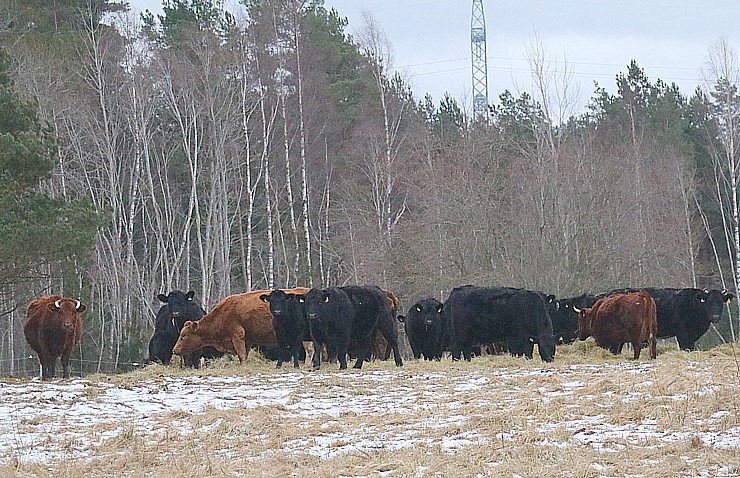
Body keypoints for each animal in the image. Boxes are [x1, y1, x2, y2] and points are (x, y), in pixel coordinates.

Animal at [173, 288, 310, 362]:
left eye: (184, 335)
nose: (175, 350)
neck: (223, 313)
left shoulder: (237, 335)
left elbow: (241, 356)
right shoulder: (247, 341)